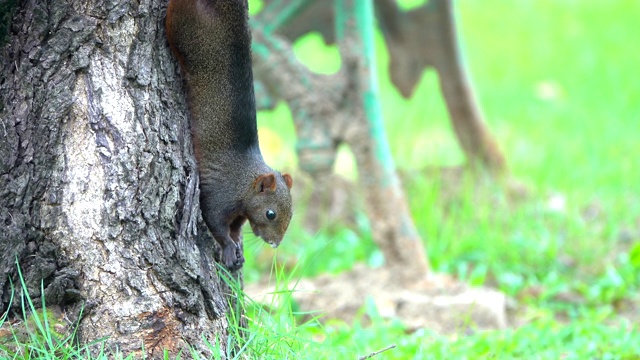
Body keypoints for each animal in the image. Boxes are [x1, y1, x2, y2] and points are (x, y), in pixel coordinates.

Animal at [165, 0, 296, 270]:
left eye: (292, 213)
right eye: (270, 213)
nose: (275, 244)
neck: (245, 182)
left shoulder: (239, 213)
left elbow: (235, 229)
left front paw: (236, 248)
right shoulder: (219, 193)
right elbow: (215, 221)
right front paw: (227, 248)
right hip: (182, 26)